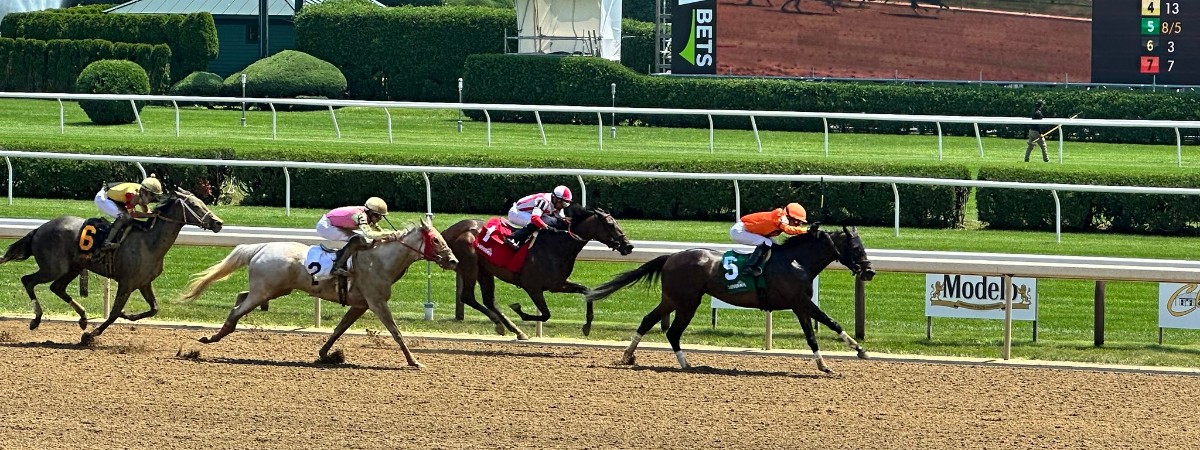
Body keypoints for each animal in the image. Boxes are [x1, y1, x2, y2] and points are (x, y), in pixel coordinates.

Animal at [0, 188, 224, 343]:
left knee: (57, 287)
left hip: (73, 267)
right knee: (28, 280)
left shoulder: (144, 283)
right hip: (53, 268)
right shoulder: (126, 283)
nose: (218, 223)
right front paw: (91, 335)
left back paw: (83, 318)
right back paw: (36, 319)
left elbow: (153, 309)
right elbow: (115, 313)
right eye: (195, 205)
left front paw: (128, 315)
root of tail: (39, 229)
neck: (150, 242)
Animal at [175, 217, 456, 367]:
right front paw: (414, 361)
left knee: (241, 297)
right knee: (236, 310)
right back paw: (212, 338)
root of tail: (261, 247)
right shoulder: (376, 302)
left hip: (273, 290)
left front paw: (325, 354)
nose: (453, 261)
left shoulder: (361, 304)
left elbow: (339, 329)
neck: (380, 260)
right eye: (437, 240)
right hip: (266, 290)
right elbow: (395, 331)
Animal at [444, 206, 633, 340]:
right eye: (610, 224)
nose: (628, 246)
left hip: (485, 269)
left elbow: (587, 291)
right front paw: (518, 308)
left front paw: (586, 327)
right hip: (470, 265)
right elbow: (546, 314)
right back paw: (502, 325)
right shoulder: (532, 287)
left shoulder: (558, 284)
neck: (556, 245)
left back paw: (514, 330)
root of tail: (450, 230)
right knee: (467, 297)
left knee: (489, 300)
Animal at [585, 226, 878, 374]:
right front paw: (859, 350)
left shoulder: (800, 305)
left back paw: (632, 356)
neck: (797, 261)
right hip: (687, 302)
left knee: (650, 321)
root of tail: (671, 256)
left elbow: (811, 336)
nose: (870, 271)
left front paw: (824, 364)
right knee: (673, 331)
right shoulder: (800, 302)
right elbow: (831, 322)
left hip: (673, 299)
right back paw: (683, 364)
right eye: (856, 247)